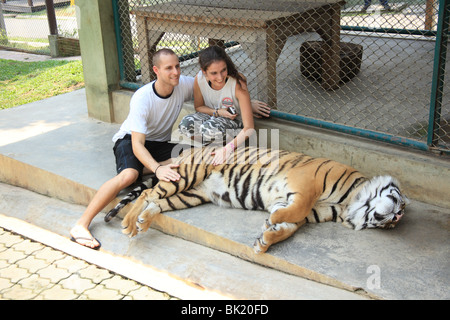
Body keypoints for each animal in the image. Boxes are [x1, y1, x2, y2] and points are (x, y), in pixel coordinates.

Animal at [119, 146, 408, 254]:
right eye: (399, 203)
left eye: (392, 225)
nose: (397, 216)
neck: (346, 206)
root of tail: (188, 151)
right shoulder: (306, 184)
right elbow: (292, 211)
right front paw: (270, 222)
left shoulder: (304, 212)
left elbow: (289, 227)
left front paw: (265, 239)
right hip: (188, 175)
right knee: (146, 194)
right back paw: (129, 224)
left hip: (191, 195)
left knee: (157, 202)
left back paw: (143, 222)